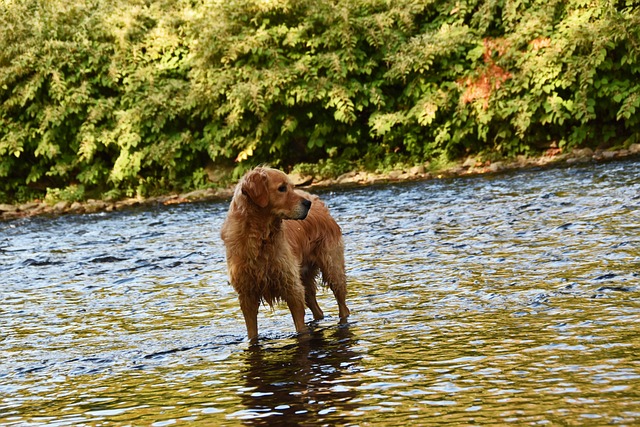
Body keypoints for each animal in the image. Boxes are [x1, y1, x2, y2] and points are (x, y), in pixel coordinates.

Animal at [220, 166, 350, 342]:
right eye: (282, 188)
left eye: (292, 187)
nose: (307, 204)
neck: (260, 238)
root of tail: (318, 201)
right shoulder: (247, 295)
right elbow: (252, 332)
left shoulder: (291, 287)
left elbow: (300, 327)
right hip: (305, 279)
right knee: (317, 309)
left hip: (332, 269)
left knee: (342, 305)